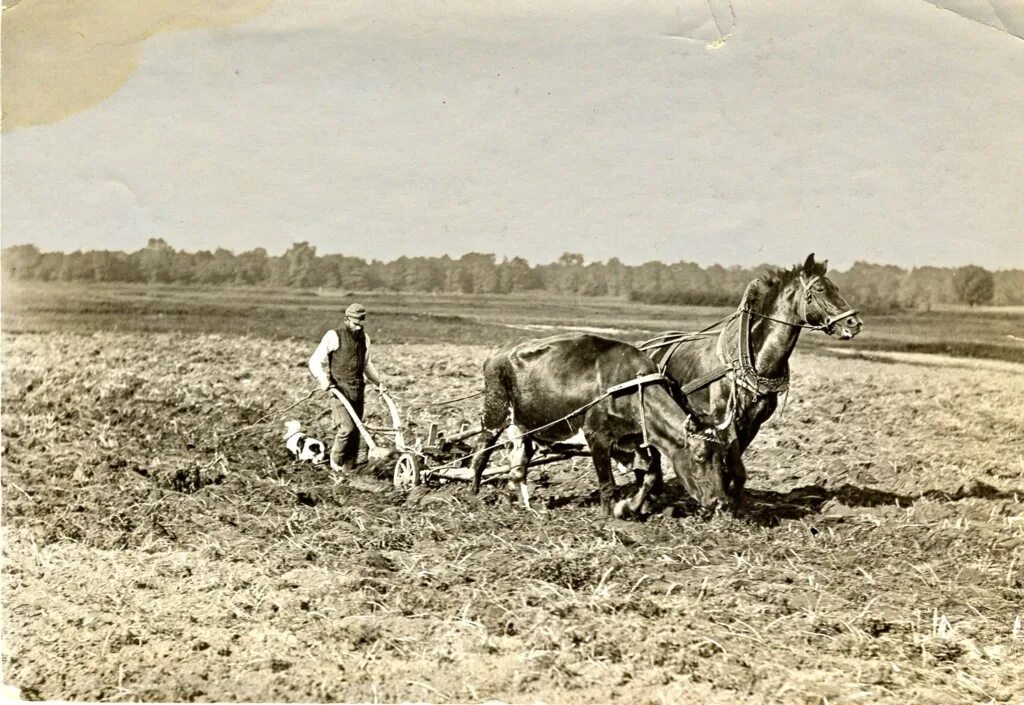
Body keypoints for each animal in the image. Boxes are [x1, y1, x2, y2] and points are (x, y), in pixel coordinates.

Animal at [471, 329, 737, 518]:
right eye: (700, 456)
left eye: (722, 456)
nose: (720, 502)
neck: (632, 387)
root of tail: (499, 352)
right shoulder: (596, 436)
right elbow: (607, 483)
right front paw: (607, 519)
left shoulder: (637, 439)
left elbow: (651, 477)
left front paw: (628, 508)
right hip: (494, 413)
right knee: (481, 454)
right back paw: (473, 495)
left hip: (525, 426)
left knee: (518, 468)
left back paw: (525, 506)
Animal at [643, 253, 860, 502]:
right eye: (820, 289)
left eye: (836, 288)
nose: (854, 323)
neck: (751, 358)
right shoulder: (724, 420)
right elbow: (732, 466)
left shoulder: (753, 422)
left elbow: (735, 470)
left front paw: (732, 501)